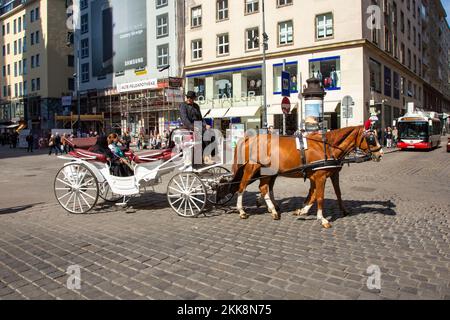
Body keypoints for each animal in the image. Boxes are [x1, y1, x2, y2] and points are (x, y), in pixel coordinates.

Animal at [218, 125, 384, 228]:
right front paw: (322, 218)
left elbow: (324, 194)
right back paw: (242, 211)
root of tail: (249, 138)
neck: (327, 147)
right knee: (242, 186)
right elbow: (319, 197)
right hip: (252, 168)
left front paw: (303, 210)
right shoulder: (320, 176)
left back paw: (272, 209)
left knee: (264, 187)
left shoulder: (324, 175)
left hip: (267, 171)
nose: (380, 154)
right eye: (371, 138)